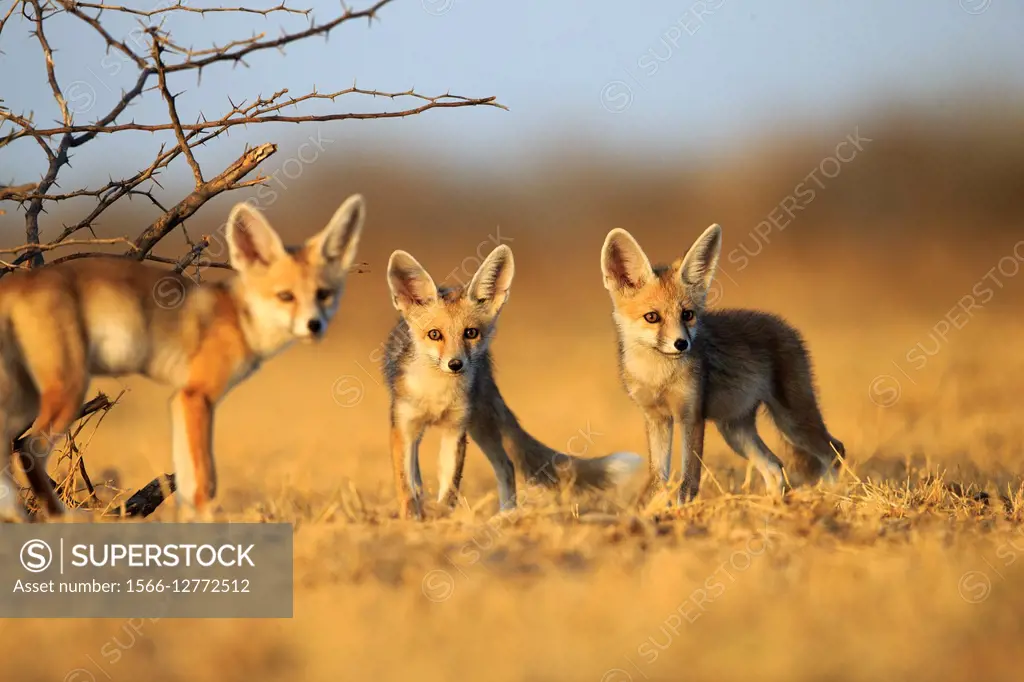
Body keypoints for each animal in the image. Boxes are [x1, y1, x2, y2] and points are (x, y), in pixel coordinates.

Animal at [0, 192, 366, 520]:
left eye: (323, 295)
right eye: (285, 296)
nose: (314, 325)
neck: (239, 319)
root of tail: (22, 280)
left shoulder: (179, 401)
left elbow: (187, 483)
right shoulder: (196, 396)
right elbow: (204, 481)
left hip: (24, 403)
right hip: (69, 390)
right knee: (29, 450)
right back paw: (59, 516)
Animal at [385, 241, 638, 518]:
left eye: (470, 333)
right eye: (434, 334)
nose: (455, 364)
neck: (437, 394)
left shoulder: (456, 429)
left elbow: (450, 489)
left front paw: (442, 516)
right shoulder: (403, 427)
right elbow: (406, 485)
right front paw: (413, 518)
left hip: (480, 423)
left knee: (505, 464)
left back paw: (507, 515)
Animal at [598, 222, 843, 499]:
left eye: (687, 315)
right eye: (652, 317)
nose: (681, 344)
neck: (659, 377)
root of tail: (784, 324)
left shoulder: (691, 416)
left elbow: (688, 481)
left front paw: (684, 508)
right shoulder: (656, 418)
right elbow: (659, 481)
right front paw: (656, 508)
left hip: (792, 423)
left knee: (835, 451)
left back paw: (836, 496)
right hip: (735, 431)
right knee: (774, 465)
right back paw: (773, 504)